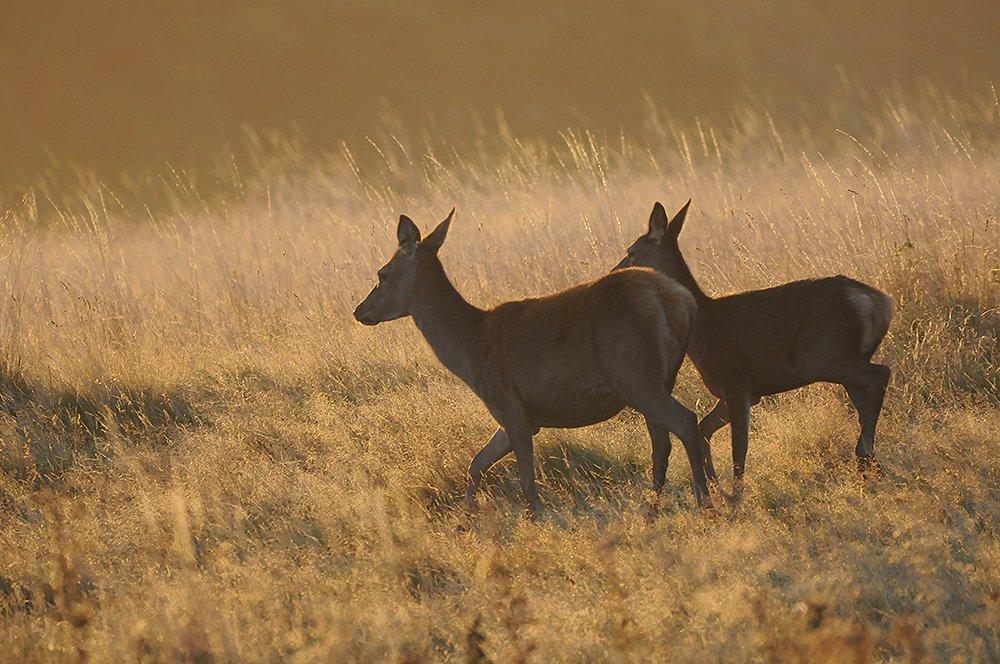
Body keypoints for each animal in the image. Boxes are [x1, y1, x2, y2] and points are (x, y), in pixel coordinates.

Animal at [354, 209, 712, 514]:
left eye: (382, 274)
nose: (359, 310)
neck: (470, 346)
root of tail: (678, 301)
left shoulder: (508, 402)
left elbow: (527, 482)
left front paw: (531, 523)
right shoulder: (522, 415)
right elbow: (476, 463)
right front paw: (465, 520)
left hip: (634, 374)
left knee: (685, 421)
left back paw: (705, 504)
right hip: (660, 379)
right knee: (661, 443)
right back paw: (654, 511)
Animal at [615, 200, 893, 484]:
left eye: (631, 251)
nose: (615, 271)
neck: (703, 324)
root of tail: (878, 300)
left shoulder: (737, 382)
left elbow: (739, 452)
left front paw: (734, 491)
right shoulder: (740, 392)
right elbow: (704, 428)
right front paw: (714, 482)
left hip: (823, 354)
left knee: (880, 374)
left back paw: (864, 453)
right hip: (842, 358)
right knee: (865, 398)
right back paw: (870, 463)